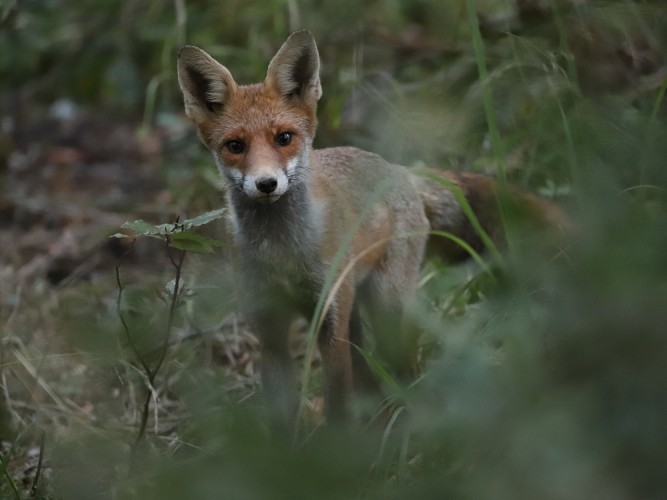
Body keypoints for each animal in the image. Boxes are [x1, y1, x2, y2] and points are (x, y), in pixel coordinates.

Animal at [176, 29, 564, 424]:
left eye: (283, 138)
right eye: (235, 146)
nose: (266, 183)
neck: (283, 251)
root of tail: (398, 168)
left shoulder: (330, 320)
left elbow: (339, 408)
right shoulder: (269, 327)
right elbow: (282, 416)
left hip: (386, 309)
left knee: (409, 372)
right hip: (356, 313)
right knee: (371, 381)